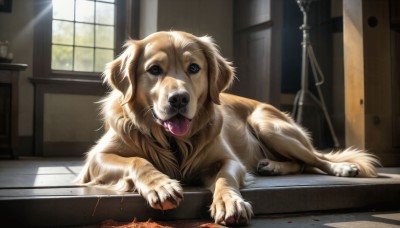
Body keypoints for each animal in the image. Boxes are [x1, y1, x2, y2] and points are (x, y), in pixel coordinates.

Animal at [77, 30, 378, 226]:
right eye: (154, 70)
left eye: (194, 68)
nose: (179, 99)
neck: (173, 141)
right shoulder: (96, 159)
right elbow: (138, 161)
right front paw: (160, 185)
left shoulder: (229, 159)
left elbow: (225, 178)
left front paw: (229, 202)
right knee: (303, 163)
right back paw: (272, 166)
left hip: (269, 126)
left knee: (316, 159)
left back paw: (341, 168)